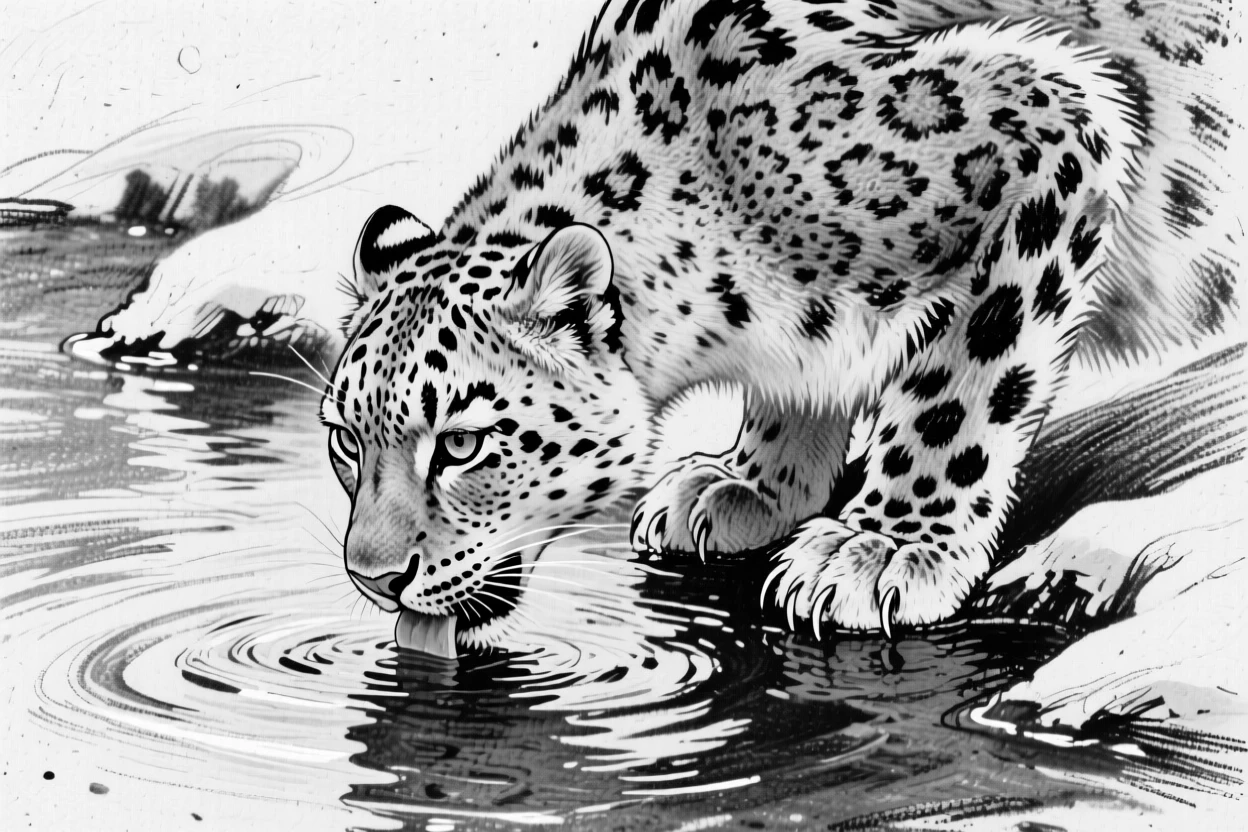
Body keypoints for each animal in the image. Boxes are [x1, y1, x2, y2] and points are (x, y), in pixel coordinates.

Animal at [321, 0, 1241, 646]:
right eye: (344, 440)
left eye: (461, 443)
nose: (372, 577)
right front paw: (747, 488)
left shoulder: (1047, 124)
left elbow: (961, 385)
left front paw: (886, 547)